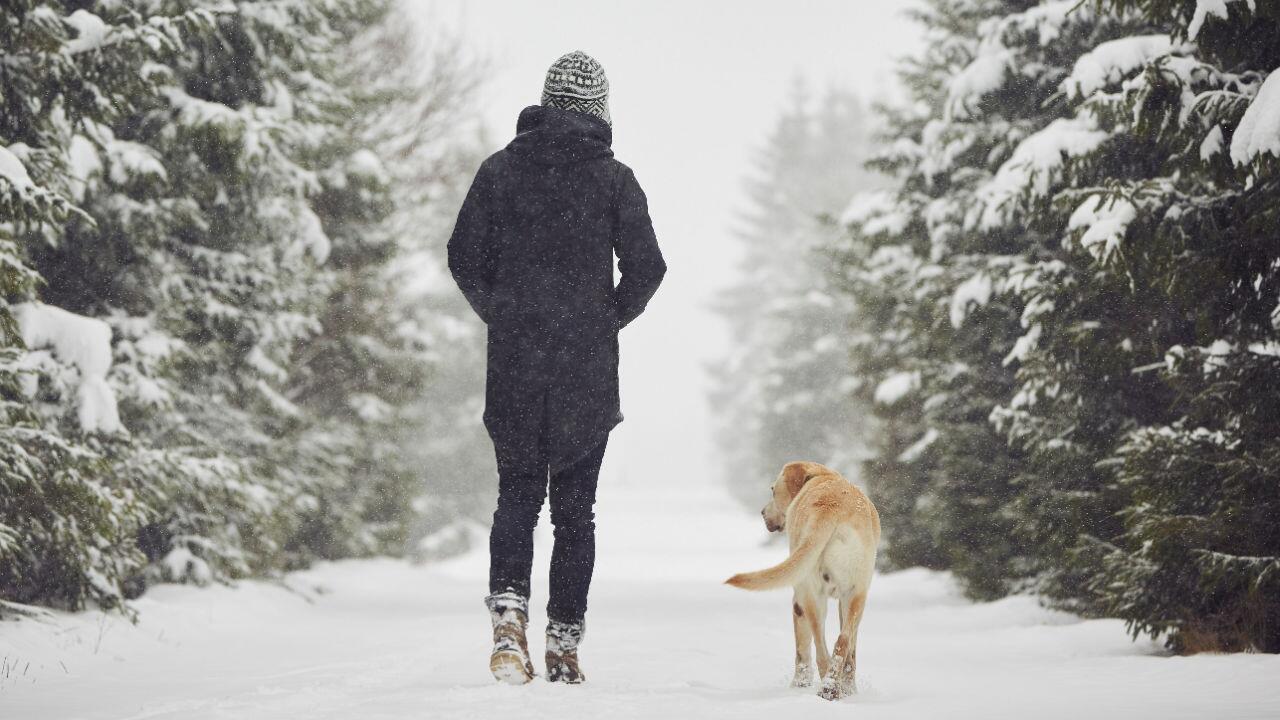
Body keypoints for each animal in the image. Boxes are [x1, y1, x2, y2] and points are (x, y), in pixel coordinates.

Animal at [732, 461, 880, 696]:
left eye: (773, 490)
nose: (762, 512)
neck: (821, 477)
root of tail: (831, 507)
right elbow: (851, 650)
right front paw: (850, 690)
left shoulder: (798, 600)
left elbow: (802, 650)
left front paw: (799, 685)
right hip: (856, 594)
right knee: (843, 642)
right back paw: (833, 688)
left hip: (810, 595)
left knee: (820, 649)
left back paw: (826, 688)